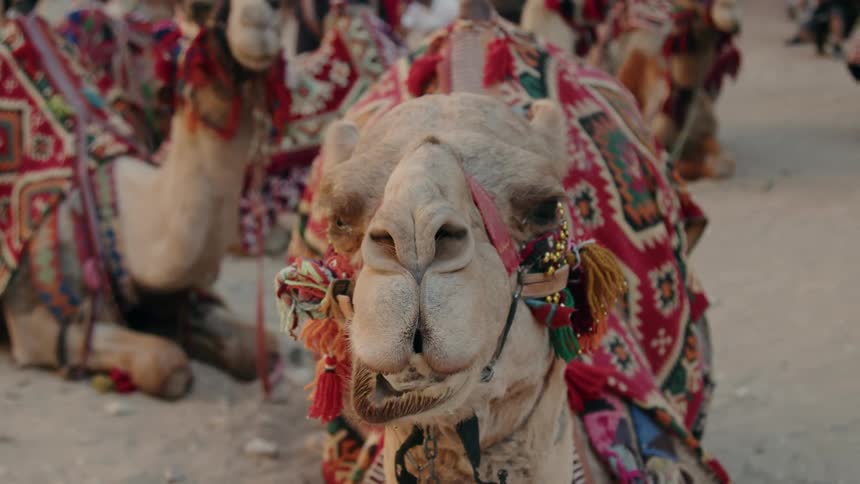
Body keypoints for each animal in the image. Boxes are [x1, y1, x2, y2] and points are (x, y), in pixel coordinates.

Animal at [0, 0, 284, 399]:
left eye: (280, 6)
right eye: (205, 11)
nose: (259, 24)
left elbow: (262, 348)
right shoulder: (35, 320)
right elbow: (165, 362)